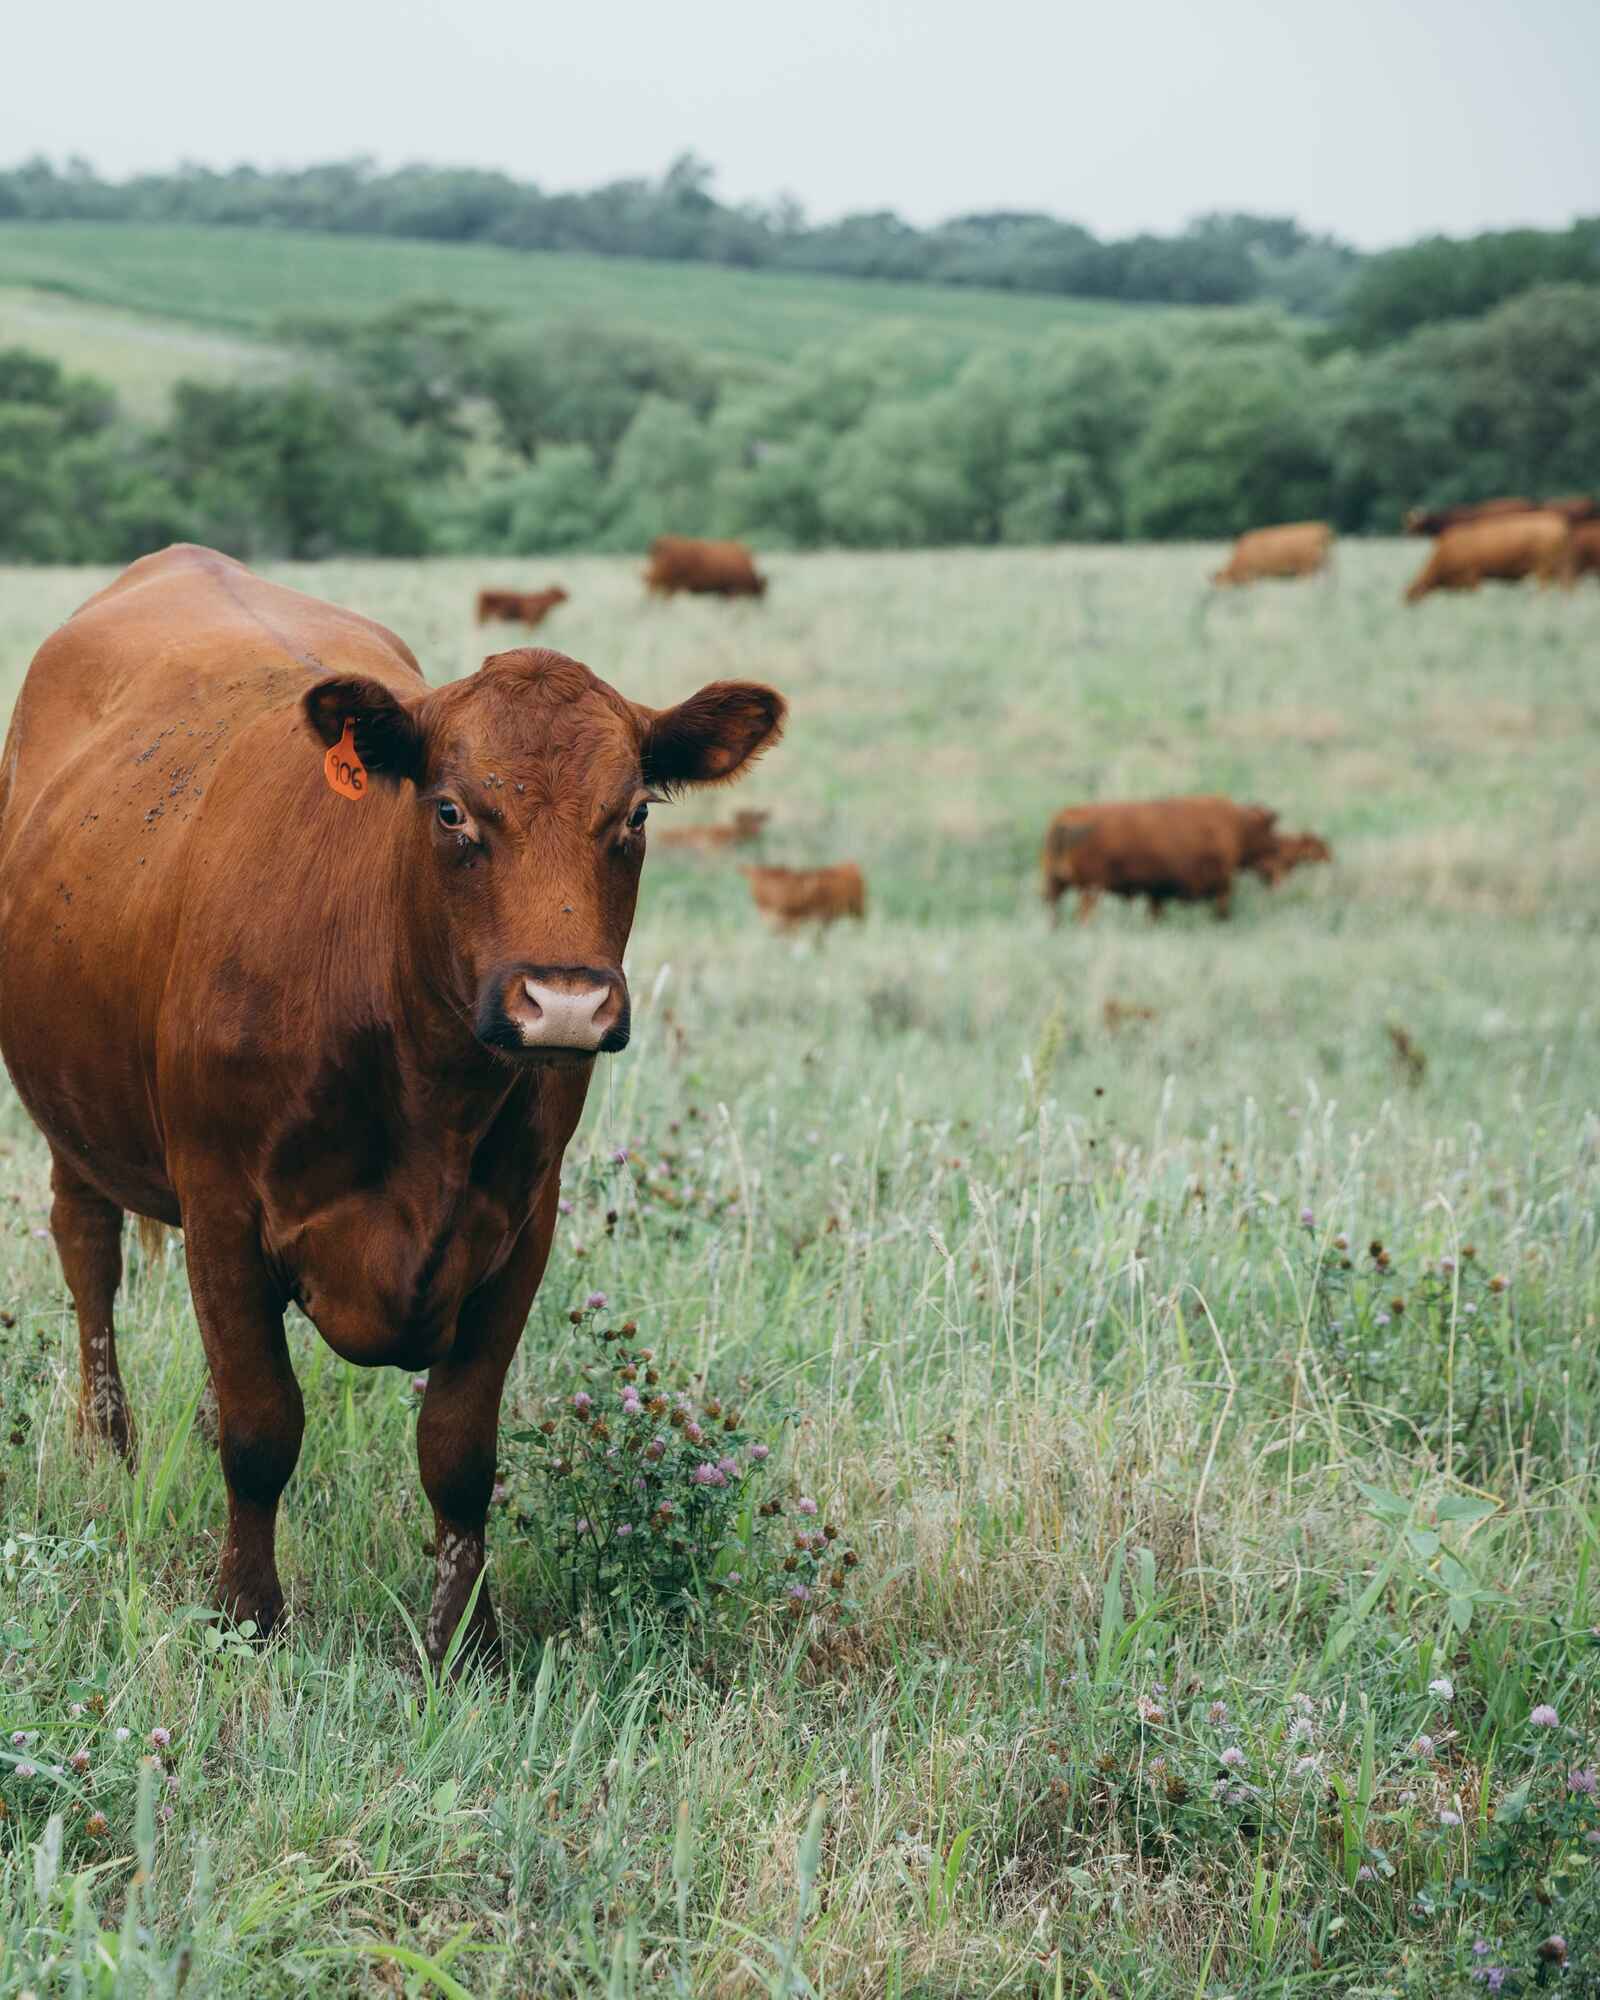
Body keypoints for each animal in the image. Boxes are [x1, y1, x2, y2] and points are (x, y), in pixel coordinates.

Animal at [0, 544, 785, 1667]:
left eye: (634, 813)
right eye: (452, 810)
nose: (565, 1001)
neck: (427, 1092)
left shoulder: (521, 1226)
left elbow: (457, 1448)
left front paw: (467, 1641)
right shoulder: (221, 1210)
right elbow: (263, 1426)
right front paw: (248, 1612)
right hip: (71, 1114)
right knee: (88, 1255)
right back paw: (106, 1445)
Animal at [1040, 797, 1279, 923]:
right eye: (1267, 830)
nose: (1273, 870)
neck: (1236, 826)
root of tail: (1065, 819)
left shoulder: (1156, 893)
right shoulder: (1222, 886)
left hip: (1057, 886)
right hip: (1090, 891)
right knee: (1083, 915)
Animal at [1403, 511, 1574, 603]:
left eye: (1411, 597)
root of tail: (1558, 523)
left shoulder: (1472, 577)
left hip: (1543, 567)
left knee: (1544, 589)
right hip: (1557, 567)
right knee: (1565, 586)